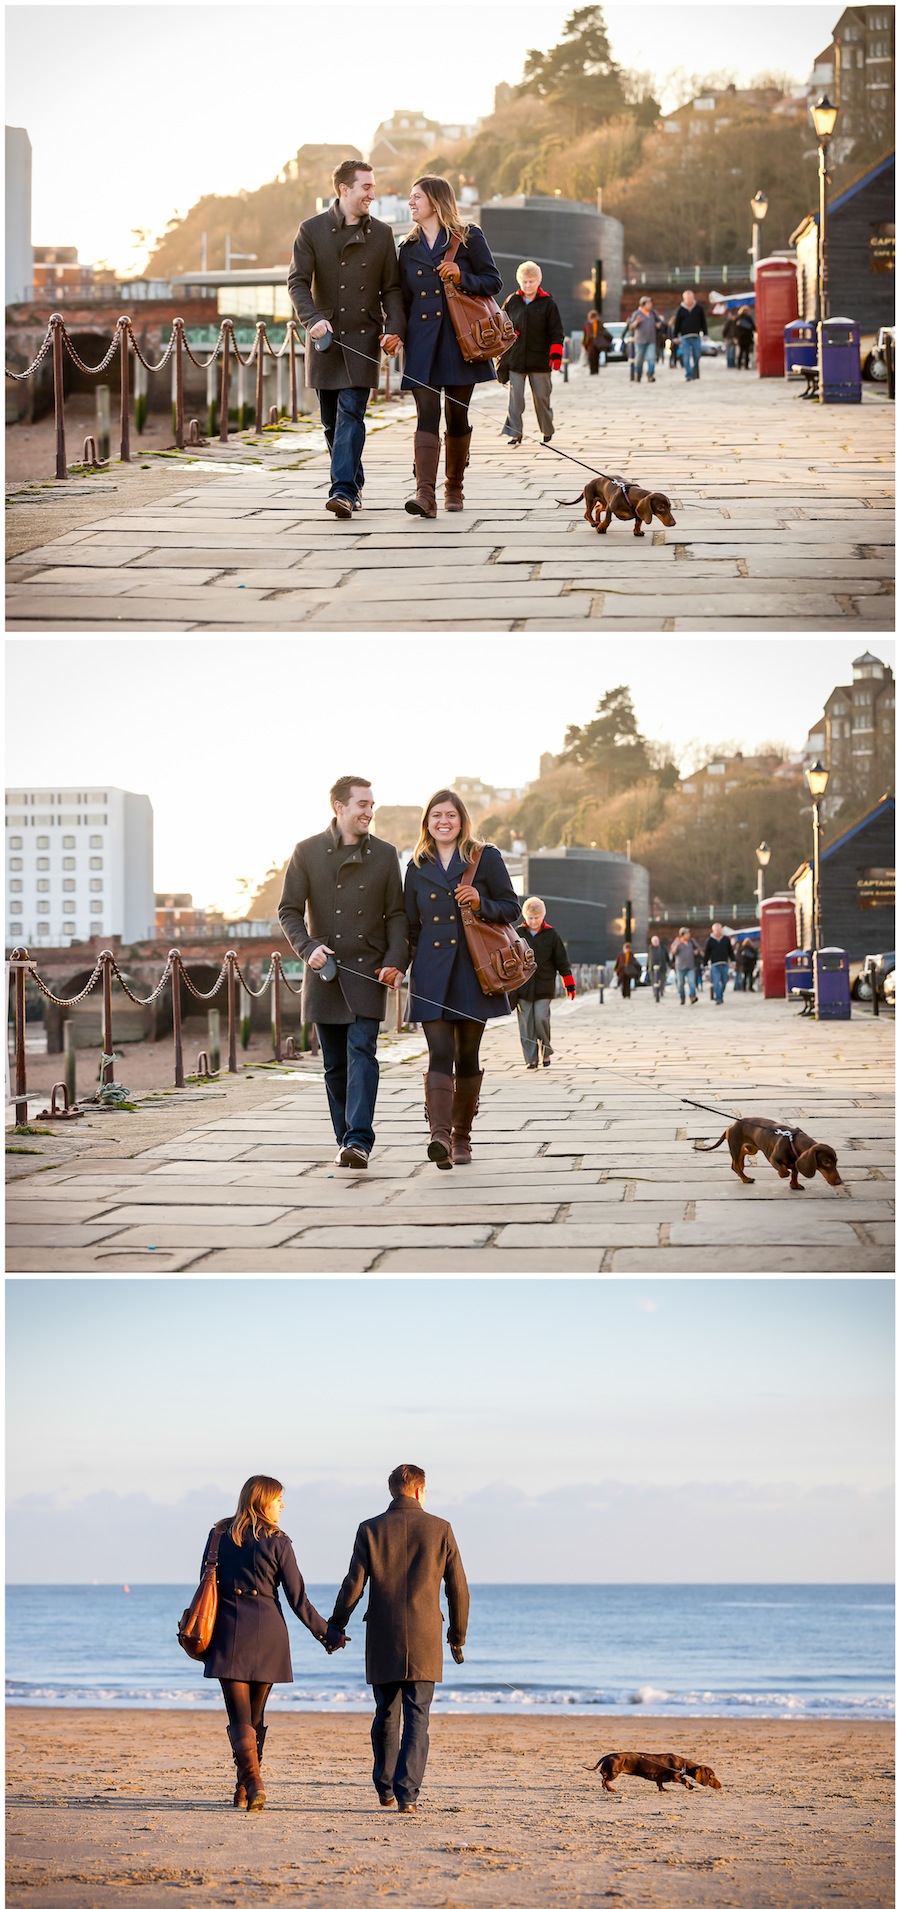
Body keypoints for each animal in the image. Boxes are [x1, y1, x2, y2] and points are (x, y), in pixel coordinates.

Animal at [699, 1114, 840, 1183]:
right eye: (826, 1162)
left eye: (836, 1162)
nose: (839, 1182)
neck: (793, 1142)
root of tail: (730, 1126)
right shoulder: (773, 1159)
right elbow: (784, 1171)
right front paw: (783, 1174)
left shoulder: (796, 1163)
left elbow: (794, 1174)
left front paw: (795, 1185)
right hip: (736, 1147)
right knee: (736, 1165)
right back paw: (745, 1179)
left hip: (751, 1149)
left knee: (738, 1161)